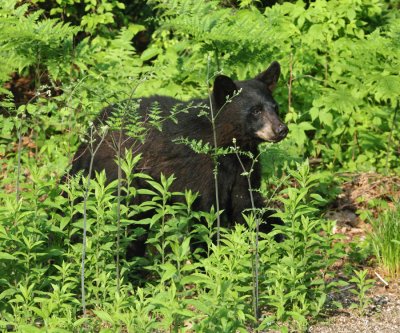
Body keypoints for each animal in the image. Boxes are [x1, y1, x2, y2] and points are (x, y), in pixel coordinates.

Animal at [69, 60, 288, 254]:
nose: (281, 129)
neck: (228, 146)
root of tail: (92, 131)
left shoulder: (245, 167)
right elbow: (206, 214)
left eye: (275, 107)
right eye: (256, 111)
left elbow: (247, 207)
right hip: (117, 176)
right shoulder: (201, 170)